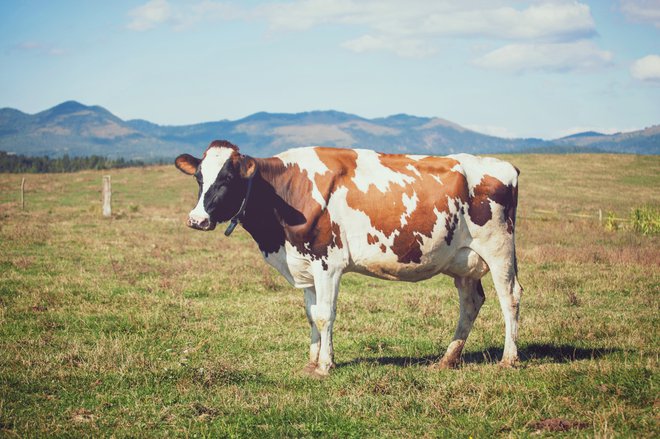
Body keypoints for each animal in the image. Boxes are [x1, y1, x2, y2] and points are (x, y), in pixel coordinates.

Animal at [177, 141, 524, 378]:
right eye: (199, 179)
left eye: (227, 179)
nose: (196, 220)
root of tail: (505, 166)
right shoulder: (305, 265)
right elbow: (311, 314)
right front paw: (312, 361)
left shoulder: (328, 264)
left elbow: (325, 315)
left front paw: (325, 365)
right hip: (464, 261)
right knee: (471, 302)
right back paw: (447, 359)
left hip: (499, 248)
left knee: (510, 297)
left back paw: (509, 358)